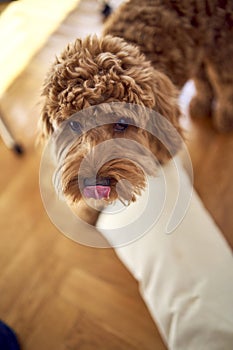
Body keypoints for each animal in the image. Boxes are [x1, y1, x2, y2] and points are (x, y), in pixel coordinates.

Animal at [39, 0, 233, 221]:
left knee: (224, 79)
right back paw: (202, 102)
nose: (94, 185)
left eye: (122, 124)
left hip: (221, 44)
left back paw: (225, 115)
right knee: (202, 73)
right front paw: (89, 210)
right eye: (74, 124)